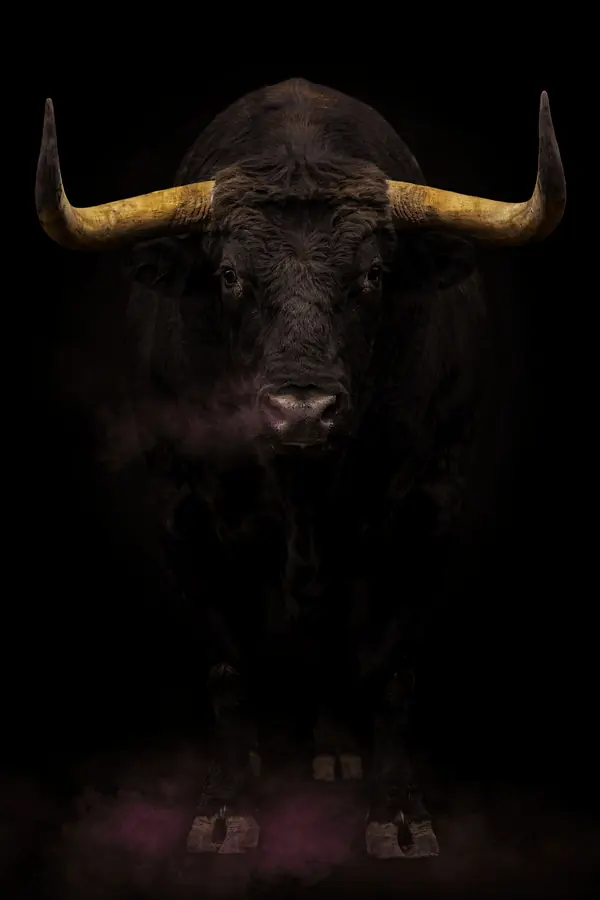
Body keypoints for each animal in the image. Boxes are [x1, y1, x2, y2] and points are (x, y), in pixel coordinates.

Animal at [35, 78, 566, 859]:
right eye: (229, 275)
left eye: (373, 275)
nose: (302, 410)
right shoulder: (180, 510)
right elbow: (227, 662)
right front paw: (225, 809)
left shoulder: (432, 506)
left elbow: (394, 665)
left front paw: (398, 815)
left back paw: (336, 748)